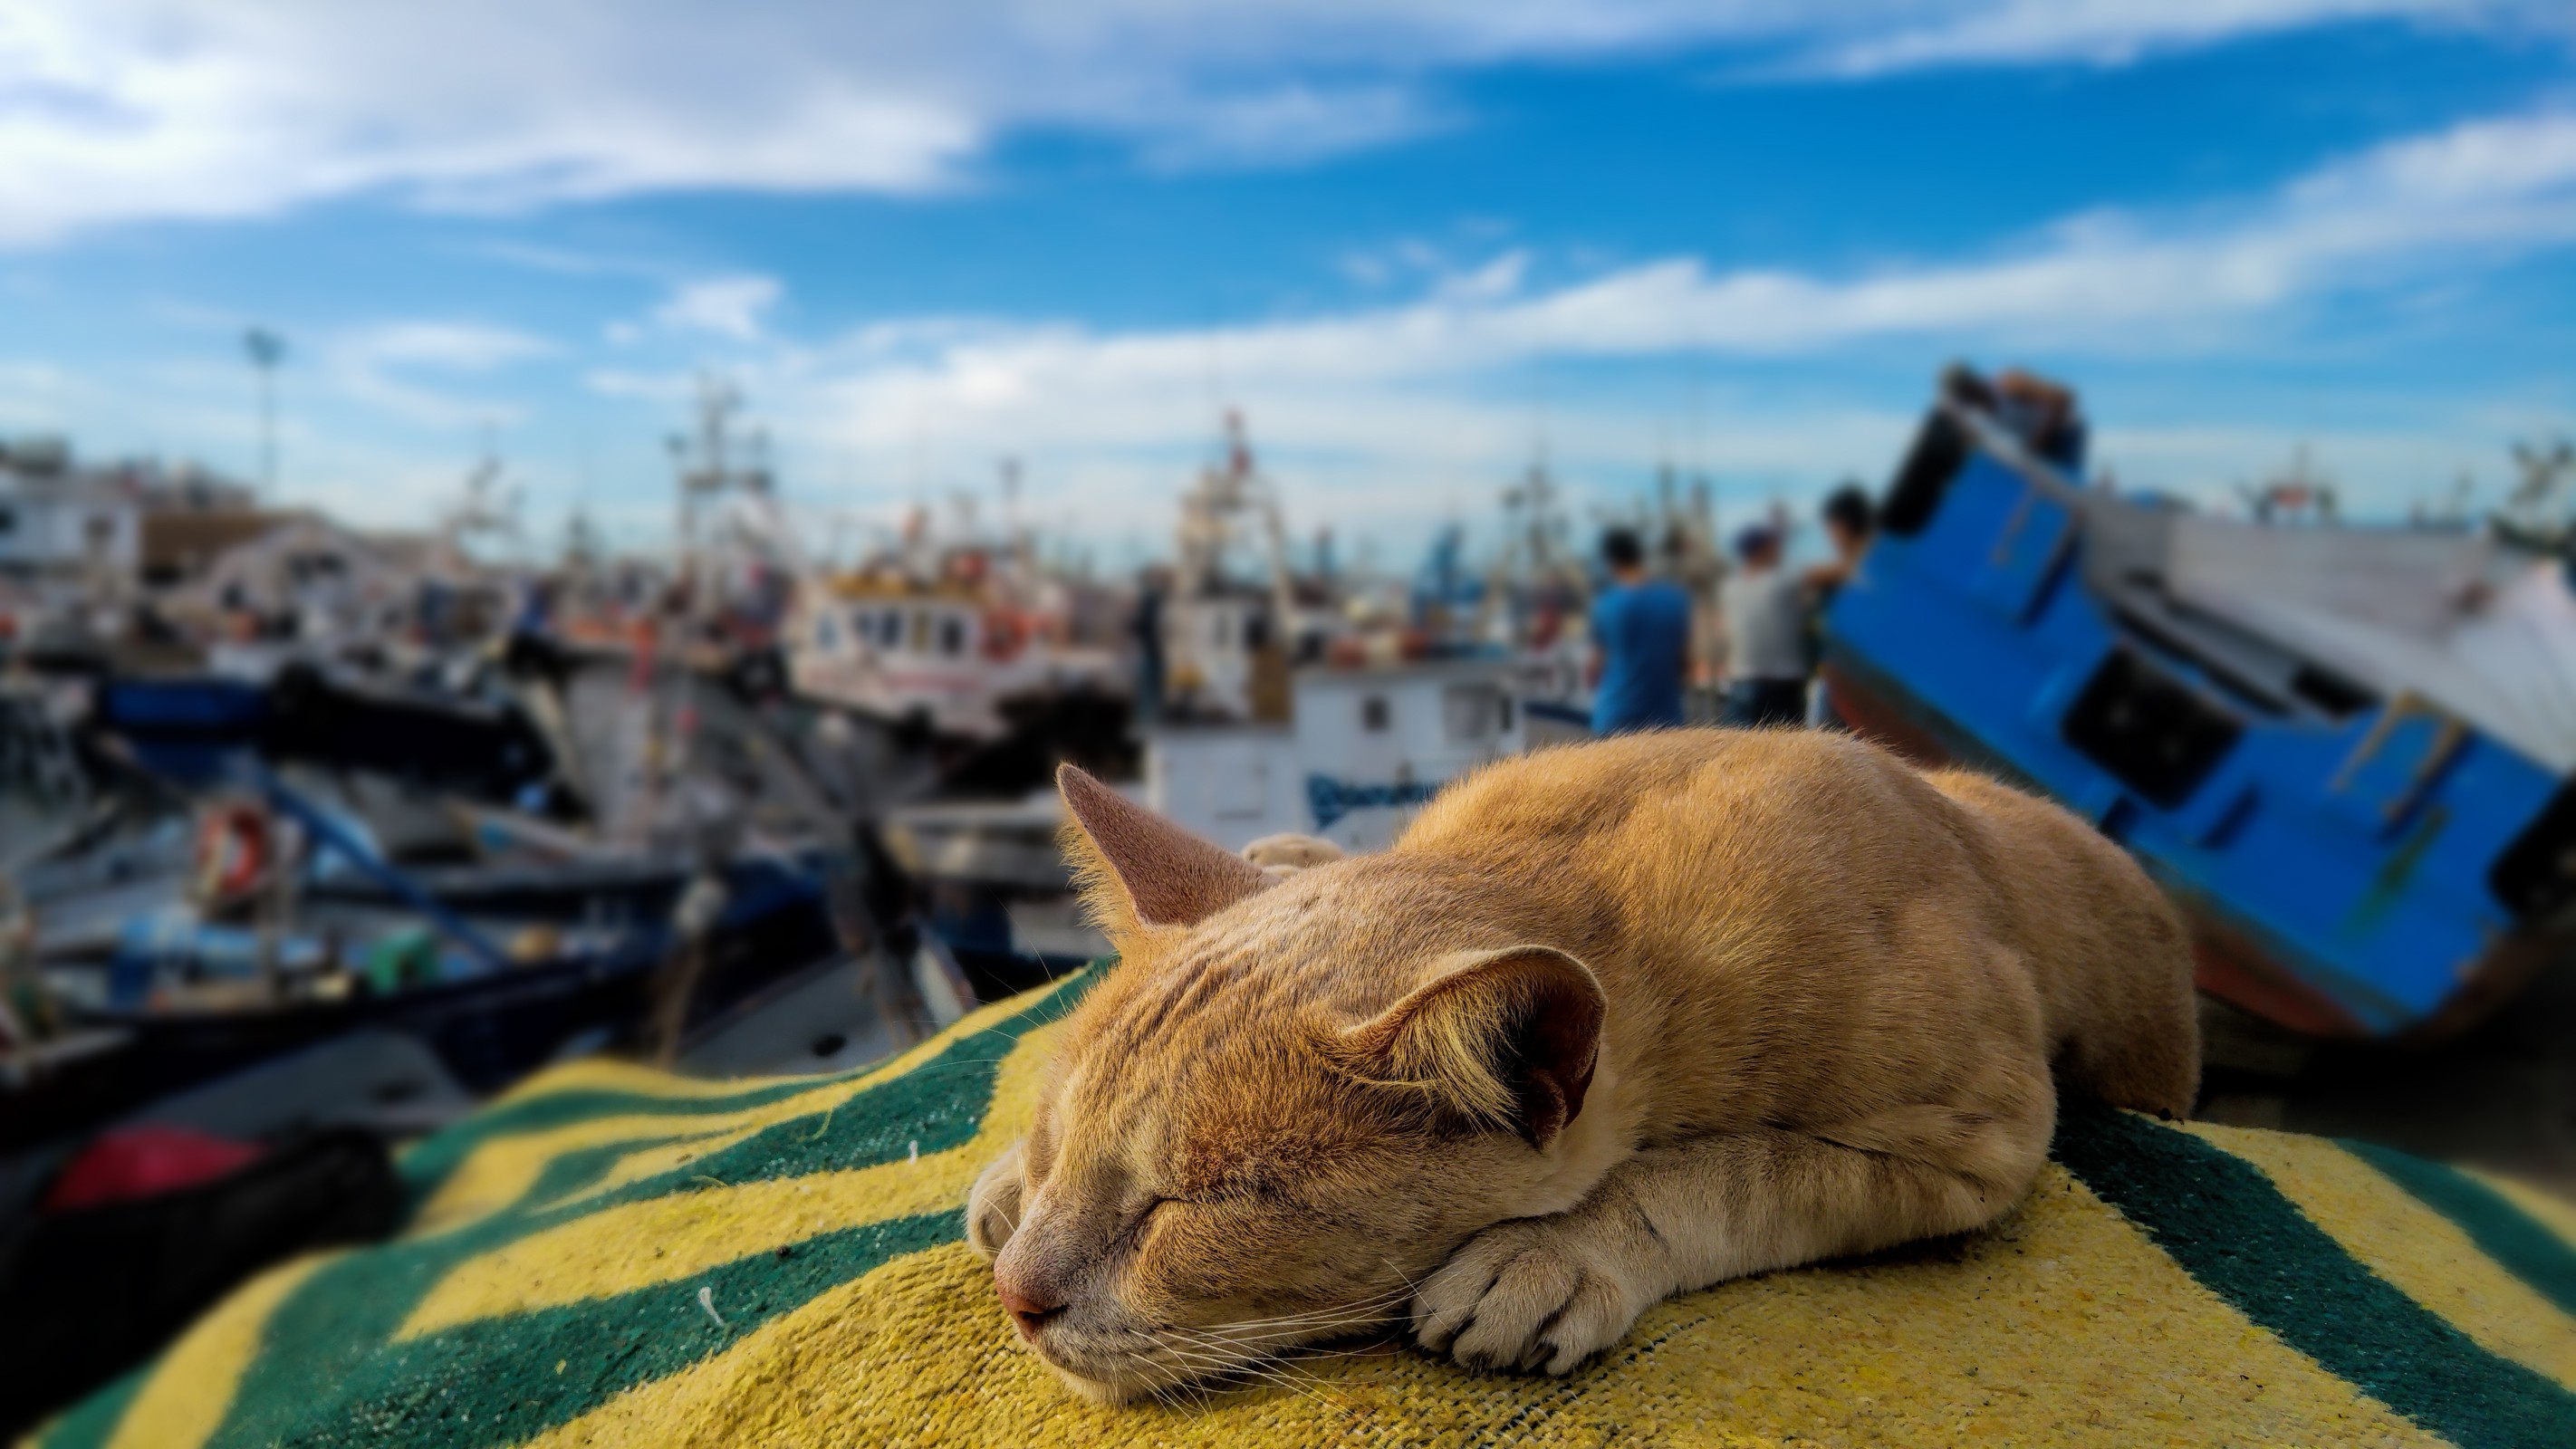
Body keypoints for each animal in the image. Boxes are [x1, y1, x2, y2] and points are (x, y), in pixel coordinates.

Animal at [968, 735, 2195, 1410]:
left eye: (1198, 1204)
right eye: (1055, 1138)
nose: (1018, 1300)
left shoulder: (1974, 1140)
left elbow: (1732, 1173)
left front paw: (1554, 1251)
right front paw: (1007, 1185)